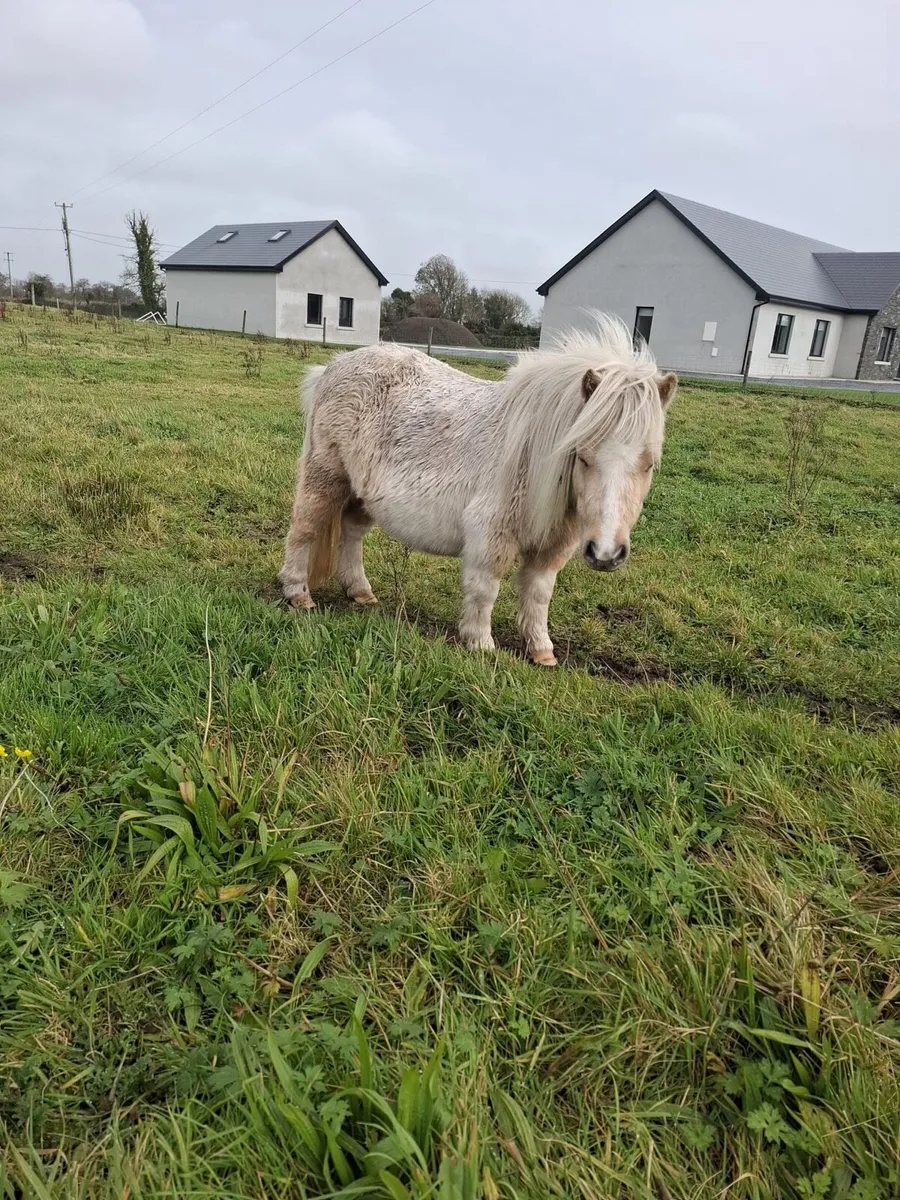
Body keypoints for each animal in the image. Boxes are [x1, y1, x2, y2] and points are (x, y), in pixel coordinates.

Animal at [279, 314, 676, 665]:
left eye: (649, 464)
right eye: (583, 456)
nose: (607, 554)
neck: (532, 453)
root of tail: (331, 368)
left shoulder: (551, 547)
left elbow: (538, 595)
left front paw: (541, 651)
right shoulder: (490, 534)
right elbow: (485, 588)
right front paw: (481, 645)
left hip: (362, 496)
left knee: (351, 534)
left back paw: (360, 592)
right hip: (325, 477)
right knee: (305, 529)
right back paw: (298, 594)